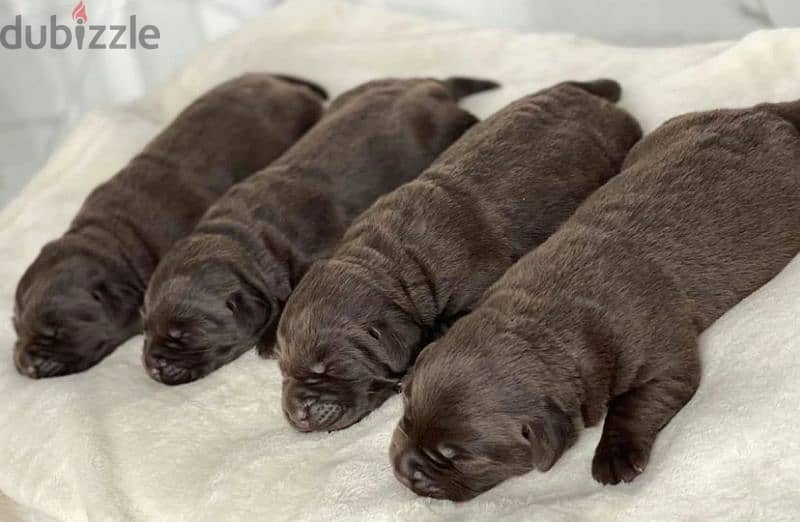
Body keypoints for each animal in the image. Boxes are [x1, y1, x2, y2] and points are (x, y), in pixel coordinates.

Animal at [141, 78, 496, 386]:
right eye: (144, 325)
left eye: (182, 335)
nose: (152, 366)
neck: (244, 236)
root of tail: (429, 85)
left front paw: (268, 339)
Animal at [390, 98, 800, 500]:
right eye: (405, 409)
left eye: (458, 457)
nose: (405, 470)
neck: (542, 317)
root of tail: (768, 113)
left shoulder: (665, 359)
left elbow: (635, 404)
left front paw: (614, 458)